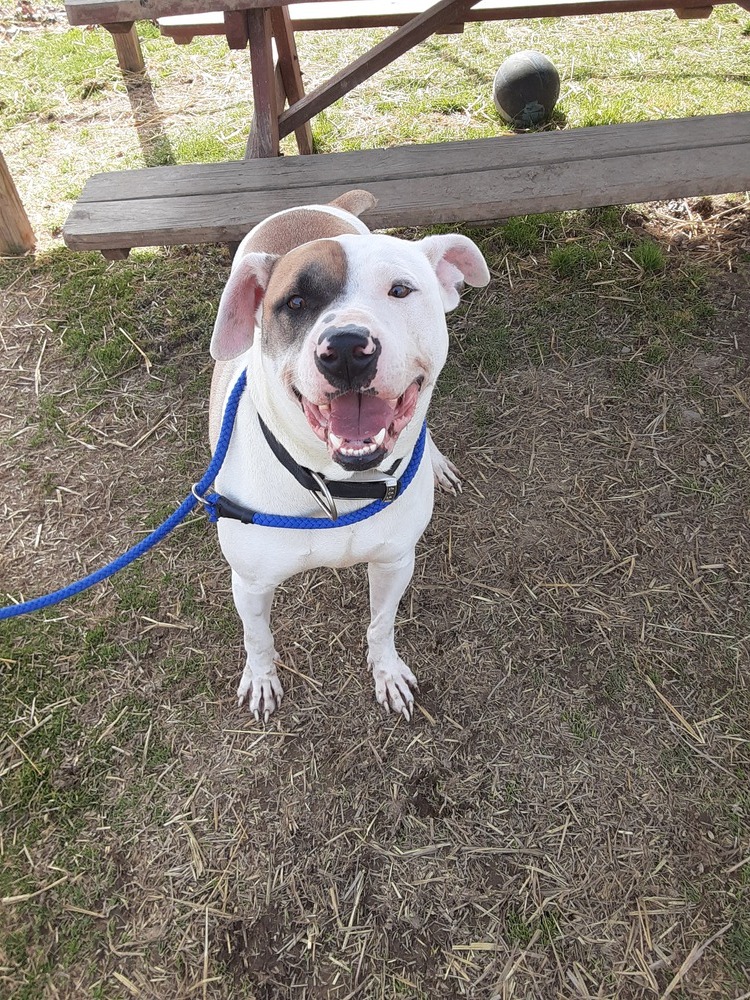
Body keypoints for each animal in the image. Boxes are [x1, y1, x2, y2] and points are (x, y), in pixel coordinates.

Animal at [209, 189, 490, 720]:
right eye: (295, 302)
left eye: (400, 290)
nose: (344, 348)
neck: (336, 484)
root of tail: (321, 204)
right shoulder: (250, 583)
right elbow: (258, 638)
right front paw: (261, 678)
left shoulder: (395, 561)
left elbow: (382, 625)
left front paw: (387, 673)